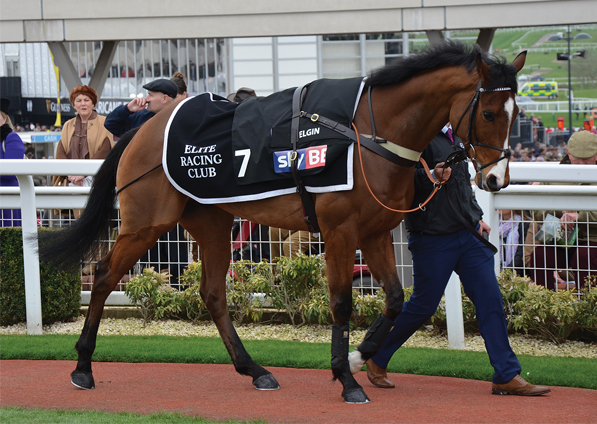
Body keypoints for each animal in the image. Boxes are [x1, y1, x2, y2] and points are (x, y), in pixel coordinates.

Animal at [39, 42, 524, 404]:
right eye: (488, 113)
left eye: (516, 113)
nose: (496, 179)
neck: (365, 134)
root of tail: (141, 130)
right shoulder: (340, 231)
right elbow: (342, 303)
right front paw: (347, 378)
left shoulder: (375, 231)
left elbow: (394, 300)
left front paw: (358, 358)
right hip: (147, 223)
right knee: (104, 275)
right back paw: (82, 367)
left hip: (212, 221)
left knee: (212, 293)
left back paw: (254, 369)